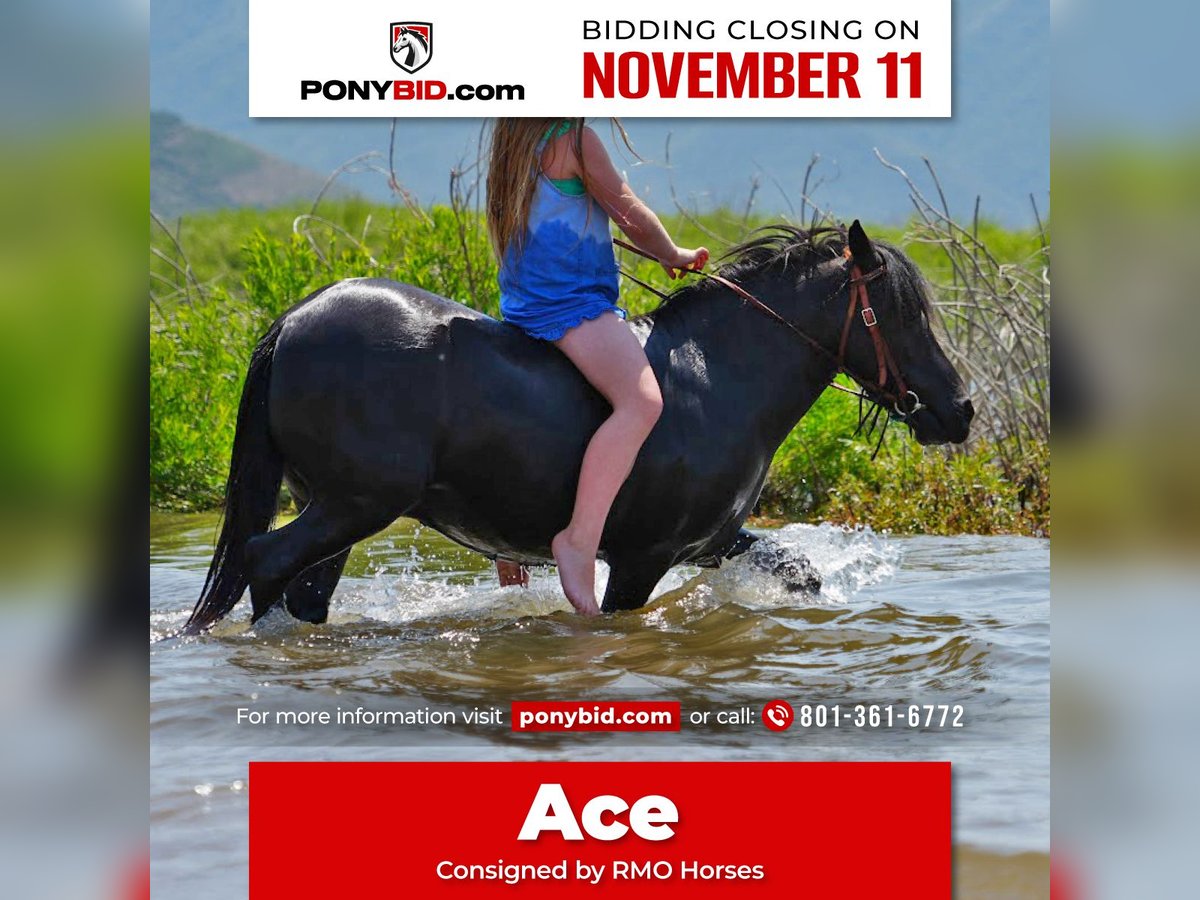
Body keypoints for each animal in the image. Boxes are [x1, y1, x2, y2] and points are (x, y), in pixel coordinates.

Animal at [181, 222, 972, 634]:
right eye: (899, 312)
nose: (960, 410)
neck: (722, 377)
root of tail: (293, 320)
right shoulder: (645, 556)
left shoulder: (711, 542)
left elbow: (799, 573)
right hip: (357, 503)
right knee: (265, 562)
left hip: (334, 505)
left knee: (299, 588)